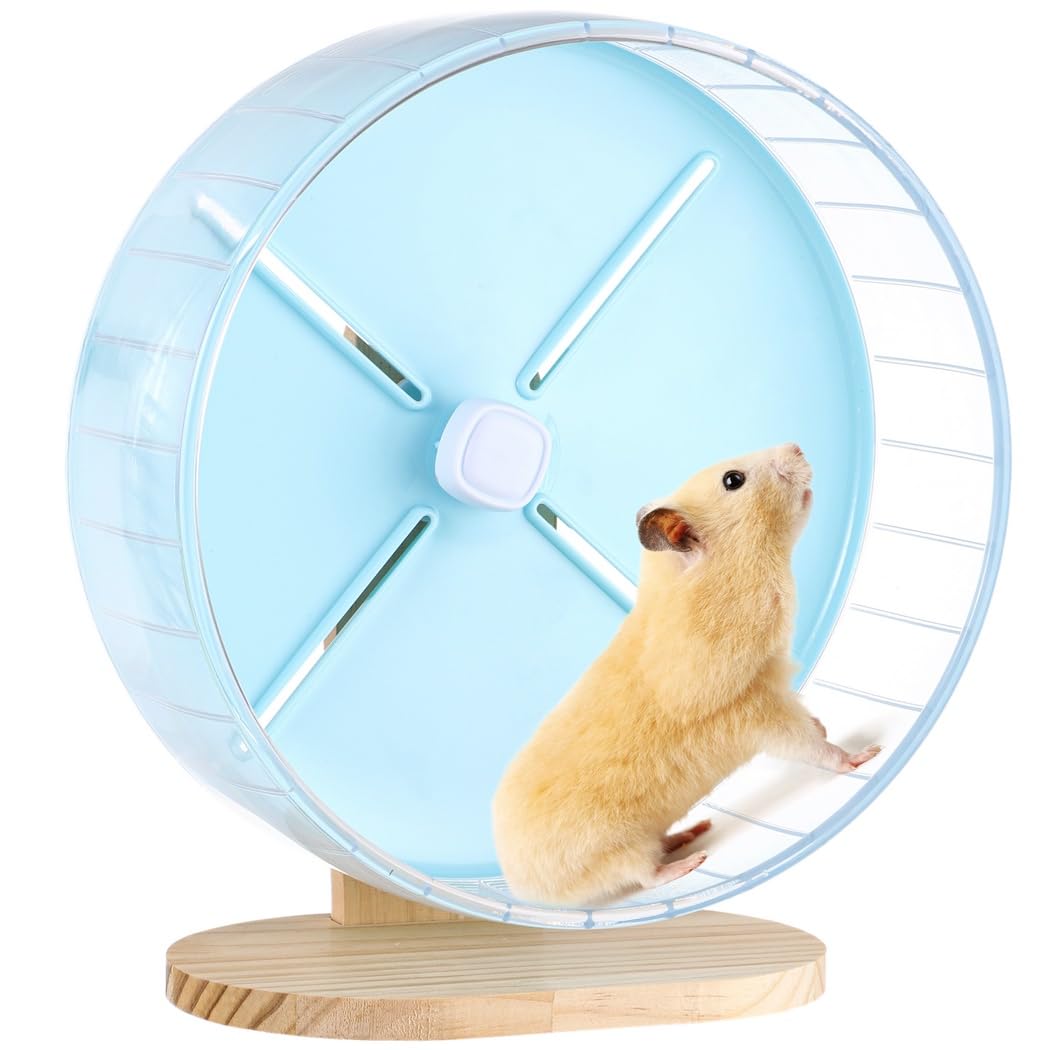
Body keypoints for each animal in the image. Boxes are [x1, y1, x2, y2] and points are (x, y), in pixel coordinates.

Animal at [492, 443, 880, 908]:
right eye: (733, 480)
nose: (797, 447)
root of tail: (517, 884)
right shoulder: (753, 707)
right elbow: (810, 746)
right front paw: (864, 755)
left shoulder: (774, 682)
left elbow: (810, 722)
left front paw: (825, 726)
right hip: (618, 848)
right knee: (645, 876)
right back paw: (690, 856)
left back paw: (691, 832)